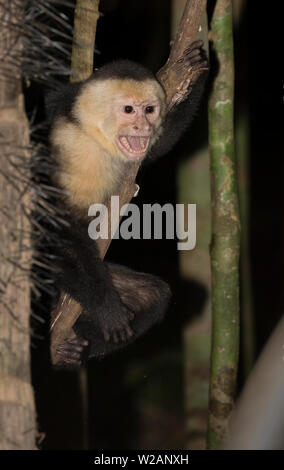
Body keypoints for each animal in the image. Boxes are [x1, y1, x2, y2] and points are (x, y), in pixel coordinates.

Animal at [45, 39, 209, 368]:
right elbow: (52, 222)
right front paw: (106, 307)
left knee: (154, 296)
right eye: (129, 110)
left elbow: (156, 148)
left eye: (150, 110)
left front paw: (194, 72)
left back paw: (67, 350)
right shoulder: (67, 144)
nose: (142, 127)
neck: (91, 134)